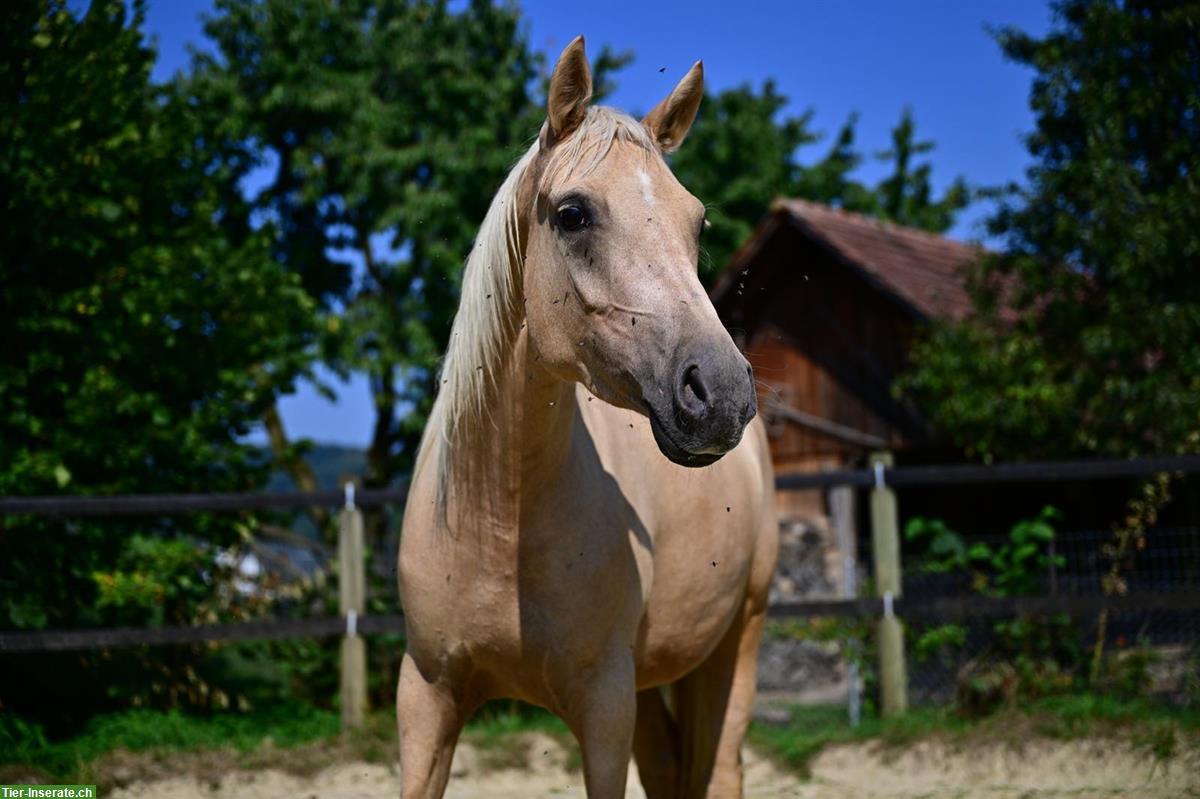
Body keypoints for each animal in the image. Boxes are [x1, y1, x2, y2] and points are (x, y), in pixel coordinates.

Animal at [398, 34, 777, 791]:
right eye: (572, 213)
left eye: (697, 222)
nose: (721, 392)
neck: (498, 516)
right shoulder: (425, 696)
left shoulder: (603, 706)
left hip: (736, 644)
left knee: (722, 768)